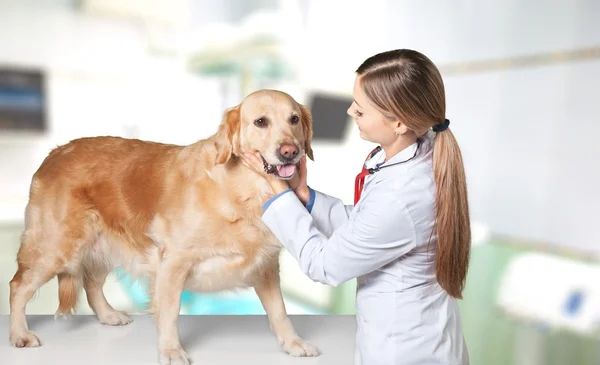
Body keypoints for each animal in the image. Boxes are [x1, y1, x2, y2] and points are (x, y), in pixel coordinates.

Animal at [8, 89, 318, 364]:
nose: (290, 151)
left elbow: (279, 309)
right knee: (17, 285)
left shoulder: (265, 265)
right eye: (261, 122)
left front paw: (293, 343)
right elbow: (170, 311)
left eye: (294, 119)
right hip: (55, 246)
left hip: (103, 243)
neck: (241, 189)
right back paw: (19, 334)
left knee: (91, 283)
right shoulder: (173, 261)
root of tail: (55, 153)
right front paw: (171, 351)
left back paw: (109, 315)